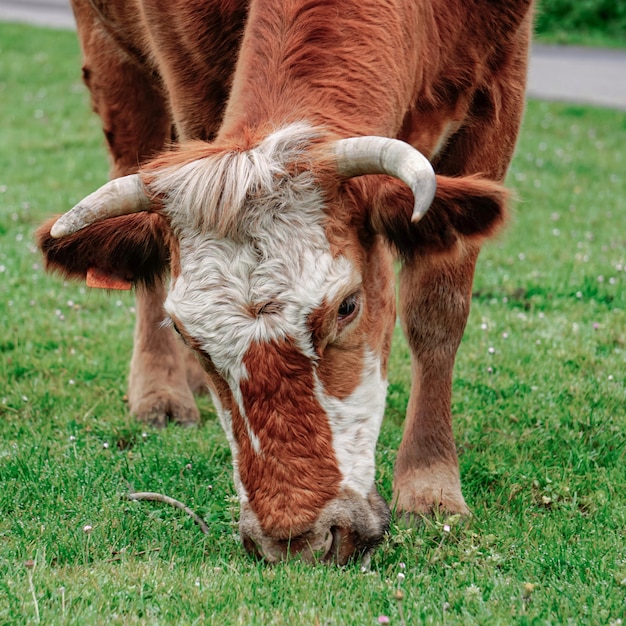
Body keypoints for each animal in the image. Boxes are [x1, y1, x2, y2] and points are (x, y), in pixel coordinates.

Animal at [36, 0, 532, 564]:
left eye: (348, 306)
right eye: (186, 331)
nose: (300, 540)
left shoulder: (500, 81)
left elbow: (437, 311)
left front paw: (431, 489)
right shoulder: (186, 70)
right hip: (114, 63)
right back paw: (161, 390)